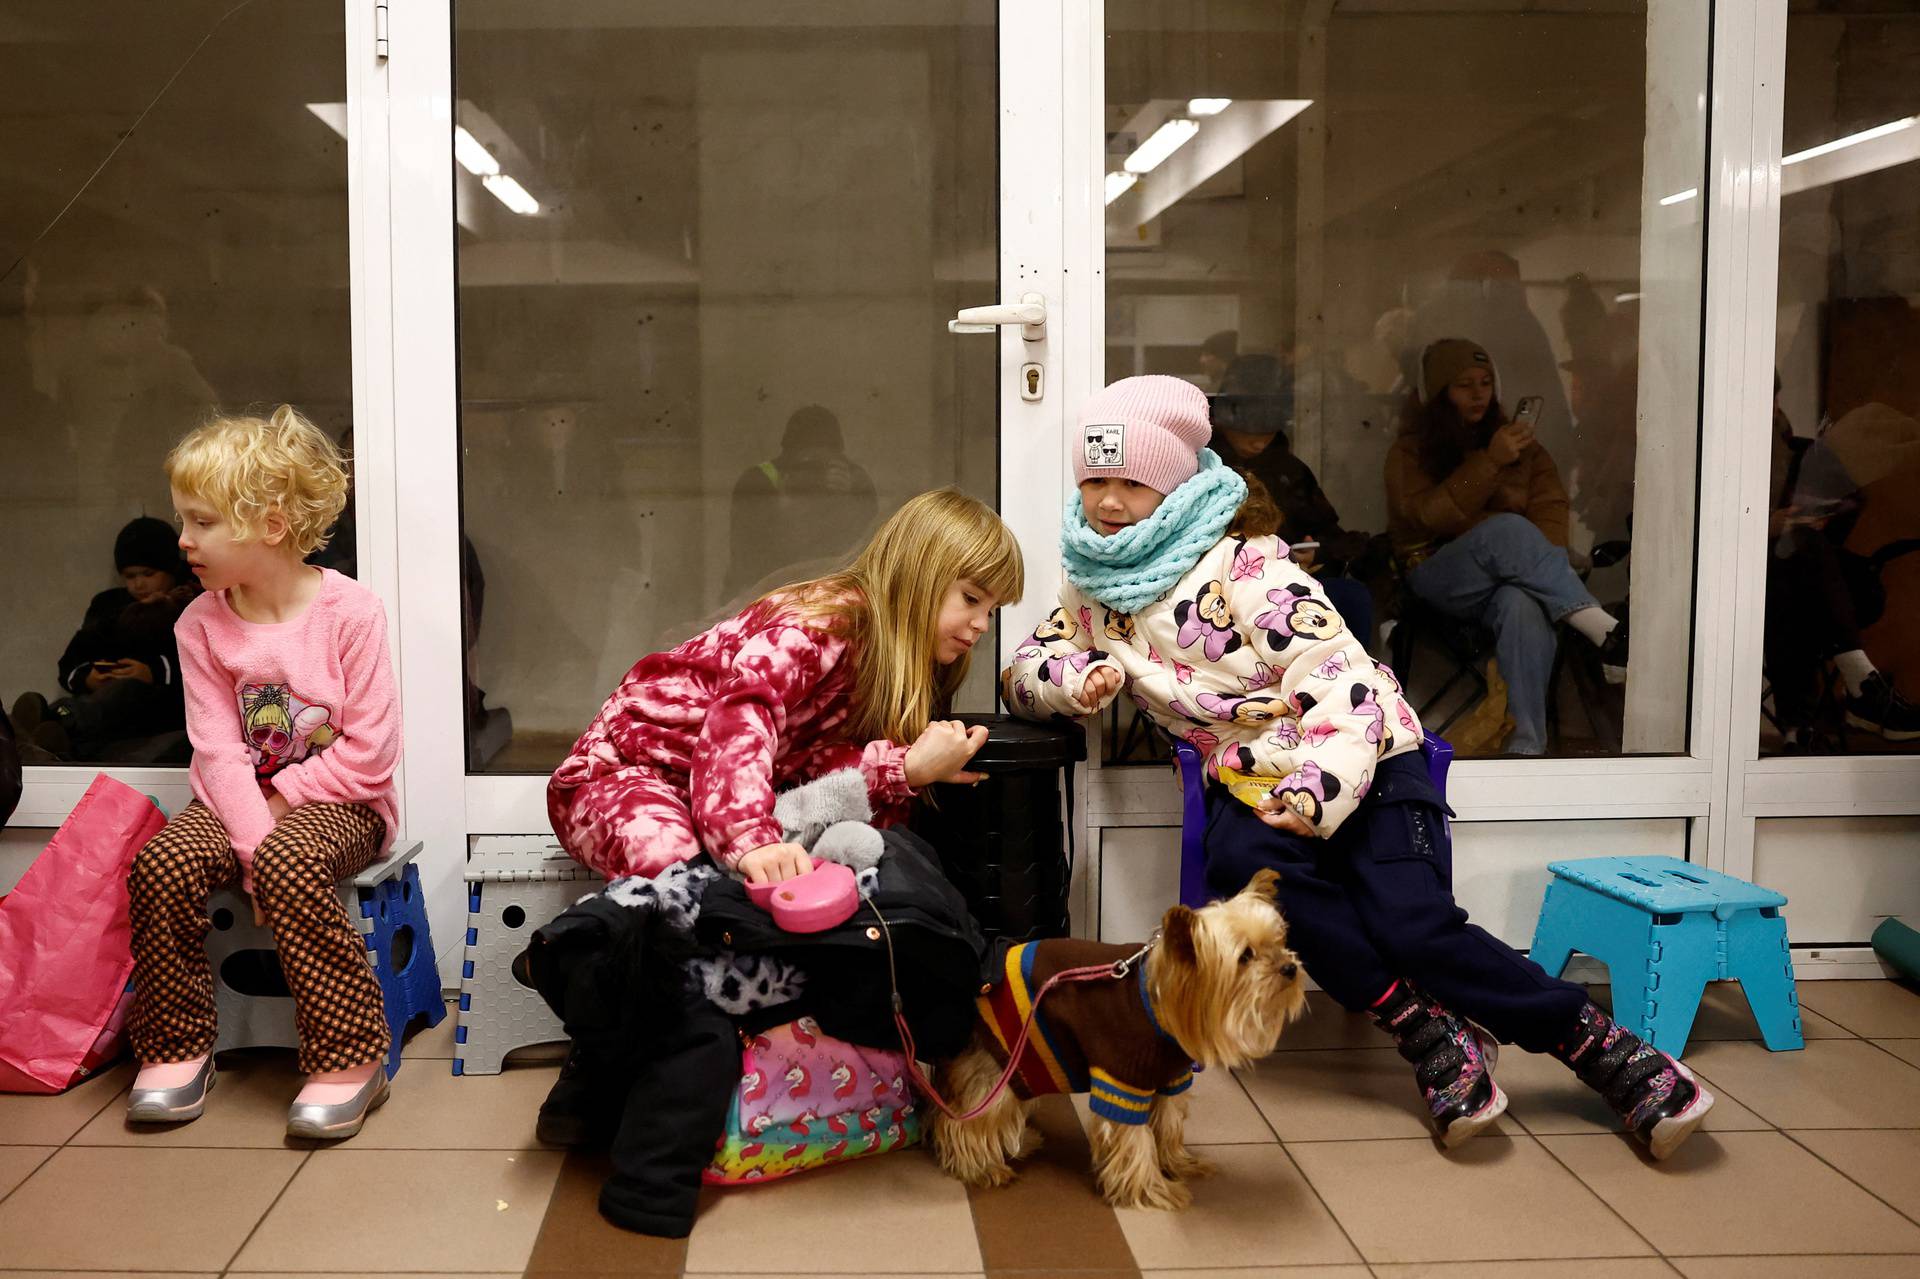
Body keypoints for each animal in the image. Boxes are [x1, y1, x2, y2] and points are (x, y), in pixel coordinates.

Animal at [929, 868, 1305, 1206]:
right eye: (1245, 956)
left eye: (1280, 942)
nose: (1290, 968)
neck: (1160, 1006)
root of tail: (978, 977)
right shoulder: (1123, 1080)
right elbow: (1133, 1140)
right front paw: (1152, 1189)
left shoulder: (1171, 1078)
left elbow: (1168, 1124)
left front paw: (1179, 1163)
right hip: (1011, 1049)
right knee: (968, 1114)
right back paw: (980, 1167)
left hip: (1032, 1057)